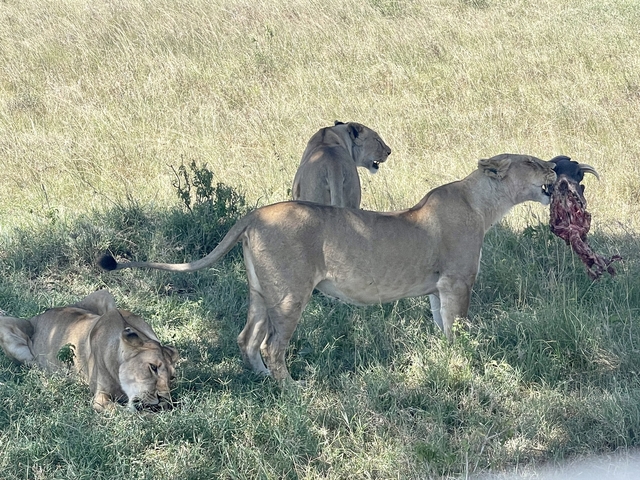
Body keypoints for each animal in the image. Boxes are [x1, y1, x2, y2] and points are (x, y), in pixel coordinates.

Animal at [0, 290, 179, 412]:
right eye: (153, 367)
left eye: (172, 377)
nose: (164, 400)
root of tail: (38, 316)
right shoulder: (100, 398)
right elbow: (124, 411)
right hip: (5, 325)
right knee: (34, 365)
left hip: (104, 293)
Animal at [100, 154, 557, 382]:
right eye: (533, 162)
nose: (556, 167)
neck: (482, 204)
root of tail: (254, 214)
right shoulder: (458, 282)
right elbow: (460, 329)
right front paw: (469, 364)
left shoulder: (436, 289)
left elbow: (442, 327)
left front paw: (448, 360)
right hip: (290, 293)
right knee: (272, 346)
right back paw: (290, 390)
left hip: (260, 292)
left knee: (247, 339)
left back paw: (263, 381)